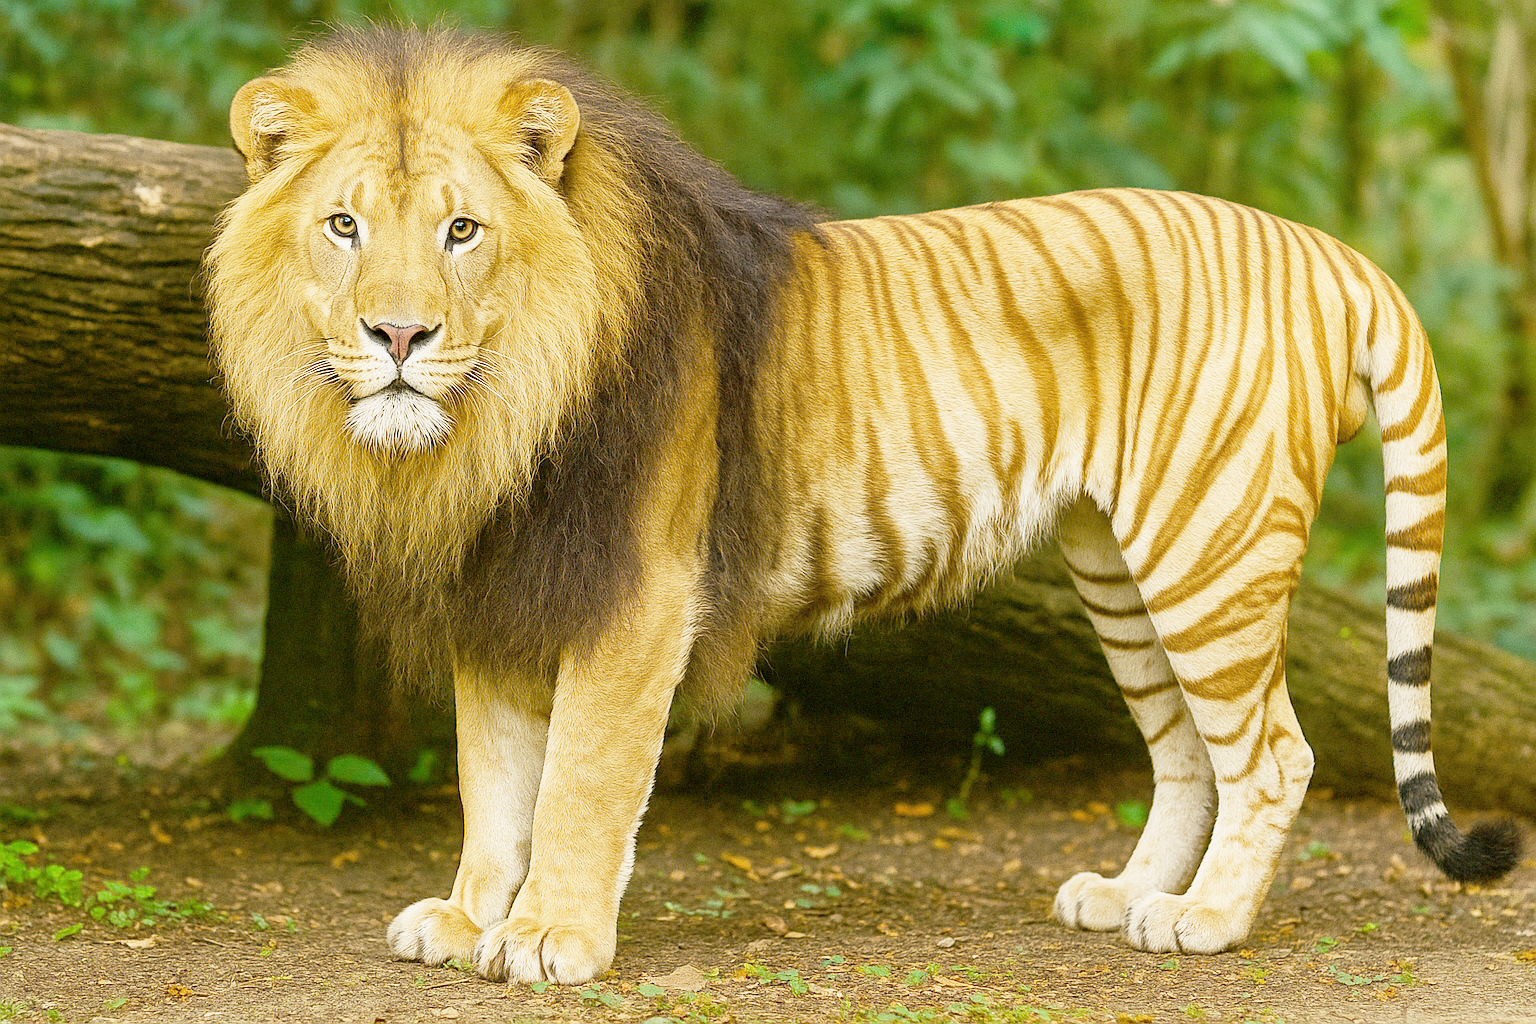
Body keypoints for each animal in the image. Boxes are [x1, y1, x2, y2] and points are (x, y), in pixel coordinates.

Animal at [203, 26, 1520, 984]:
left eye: (462, 230)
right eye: (344, 224)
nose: (399, 337)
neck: (499, 418)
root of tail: (1328, 254)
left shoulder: (636, 595)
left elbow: (578, 779)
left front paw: (549, 936)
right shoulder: (505, 591)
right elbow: (494, 785)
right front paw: (474, 917)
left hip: (1208, 545)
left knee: (1276, 753)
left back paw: (1207, 920)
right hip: (1121, 564)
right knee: (1191, 749)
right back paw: (1132, 895)